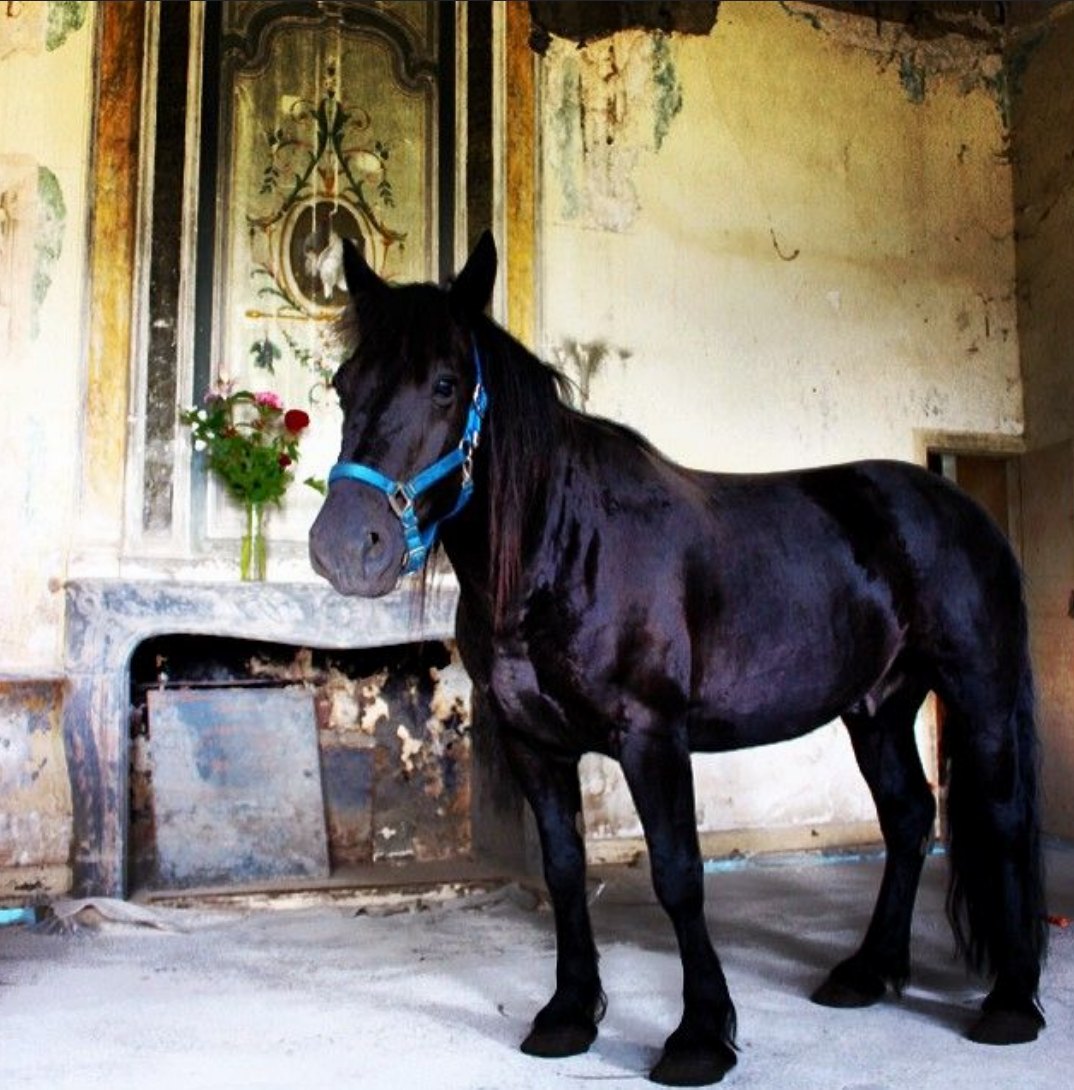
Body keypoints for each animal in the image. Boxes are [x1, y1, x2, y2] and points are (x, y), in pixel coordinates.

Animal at [309, 232, 1046, 1086]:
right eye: (343, 385)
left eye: (444, 384)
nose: (344, 547)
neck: (564, 546)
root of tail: (962, 511)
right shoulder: (533, 744)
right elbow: (564, 868)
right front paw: (567, 1016)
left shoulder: (653, 737)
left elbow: (678, 874)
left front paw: (698, 1036)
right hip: (878, 709)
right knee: (908, 817)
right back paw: (867, 973)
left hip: (980, 696)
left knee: (1003, 818)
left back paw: (1011, 1005)